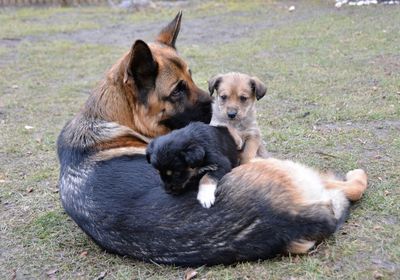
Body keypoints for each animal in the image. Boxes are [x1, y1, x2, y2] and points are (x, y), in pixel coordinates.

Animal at [57, 12, 368, 266]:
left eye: (191, 76)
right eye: (177, 90)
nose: (222, 113)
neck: (112, 120)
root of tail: (287, 219)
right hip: (285, 169)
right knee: (350, 187)